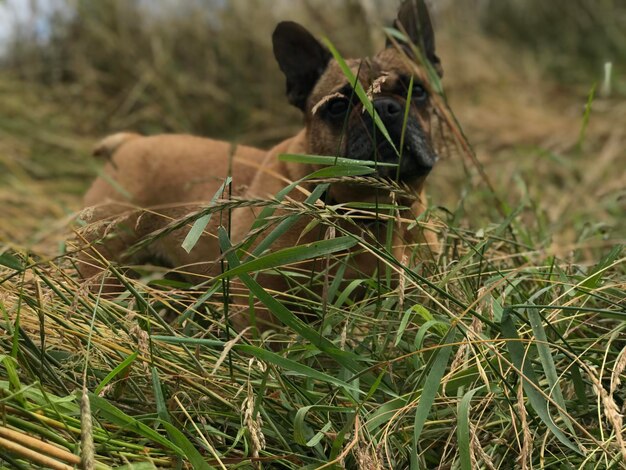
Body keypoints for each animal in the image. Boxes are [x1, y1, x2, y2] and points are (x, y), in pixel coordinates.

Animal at [77, 0, 438, 330]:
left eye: (418, 91)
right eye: (337, 107)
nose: (386, 108)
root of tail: (128, 143)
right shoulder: (262, 302)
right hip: (102, 269)